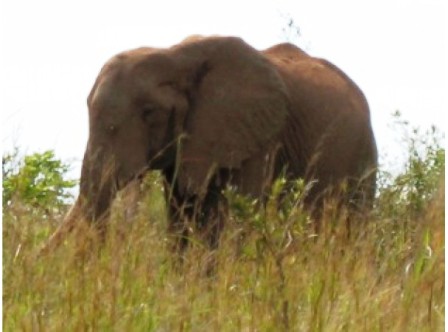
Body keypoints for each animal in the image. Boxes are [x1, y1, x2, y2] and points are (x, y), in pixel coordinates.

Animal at [42, 36, 378, 253]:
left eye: (150, 113)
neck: (175, 56)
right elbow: (182, 213)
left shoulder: (261, 133)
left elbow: (244, 209)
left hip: (363, 156)